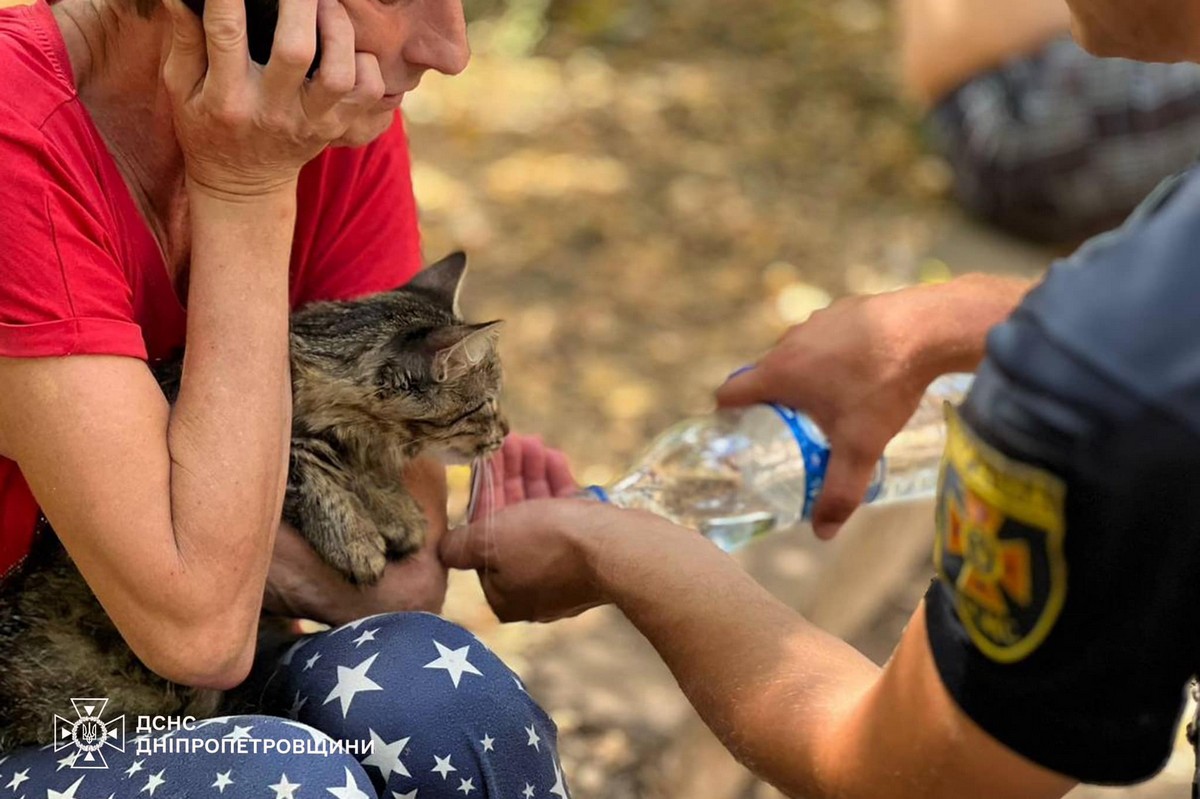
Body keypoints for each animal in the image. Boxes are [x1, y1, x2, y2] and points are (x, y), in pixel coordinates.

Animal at [0, 250, 506, 748]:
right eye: (486, 405)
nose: (504, 433)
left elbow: (361, 468)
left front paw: (396, 511)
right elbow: (306, 462)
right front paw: (355, 539)